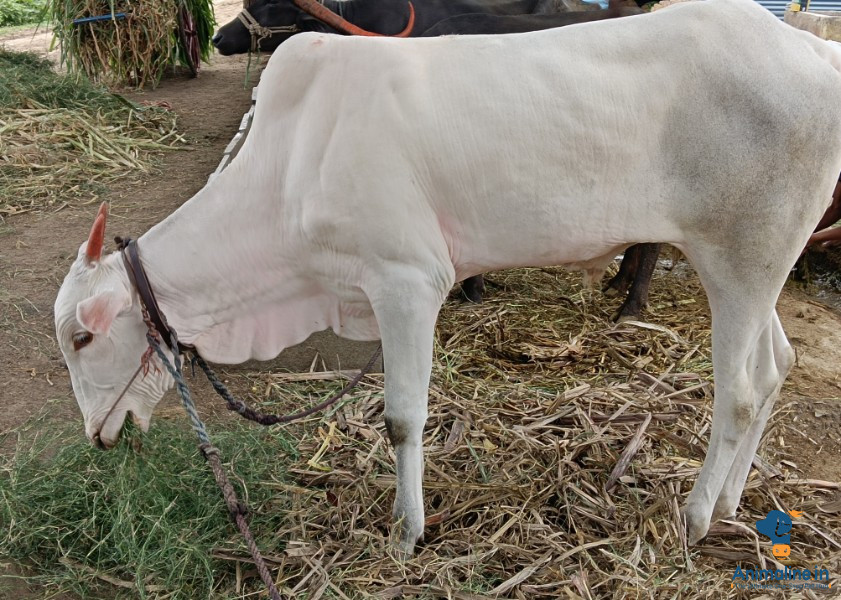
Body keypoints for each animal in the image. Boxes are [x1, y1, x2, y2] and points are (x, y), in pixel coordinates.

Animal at [55, 0, 841, 557]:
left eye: (82, 338)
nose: (97, 435)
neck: (291, 161)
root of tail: (809, 48)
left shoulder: (407, 283)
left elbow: (402, 417)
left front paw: (407, 533)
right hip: (749, 266)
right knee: (775, 367)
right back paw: (734, 503)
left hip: (744, 259)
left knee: (738, 393)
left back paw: (697, 517)